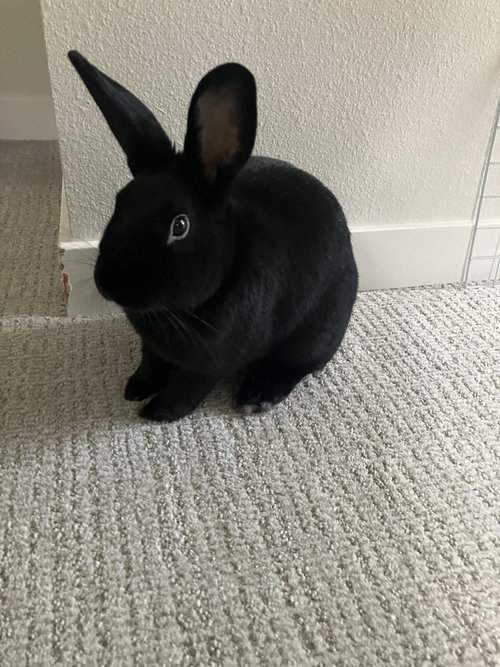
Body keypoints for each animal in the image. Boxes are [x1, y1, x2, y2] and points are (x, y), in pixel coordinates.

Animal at [68, 50, 358, 422]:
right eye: (119, 203)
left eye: (179, 226)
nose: (108, 284)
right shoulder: (151, 348)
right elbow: (150, 363)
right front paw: (135, 388)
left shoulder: (209, 364)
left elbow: (186, 386)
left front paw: (158, 412)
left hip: (317, 332)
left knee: (297, 364)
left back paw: (257, 395)